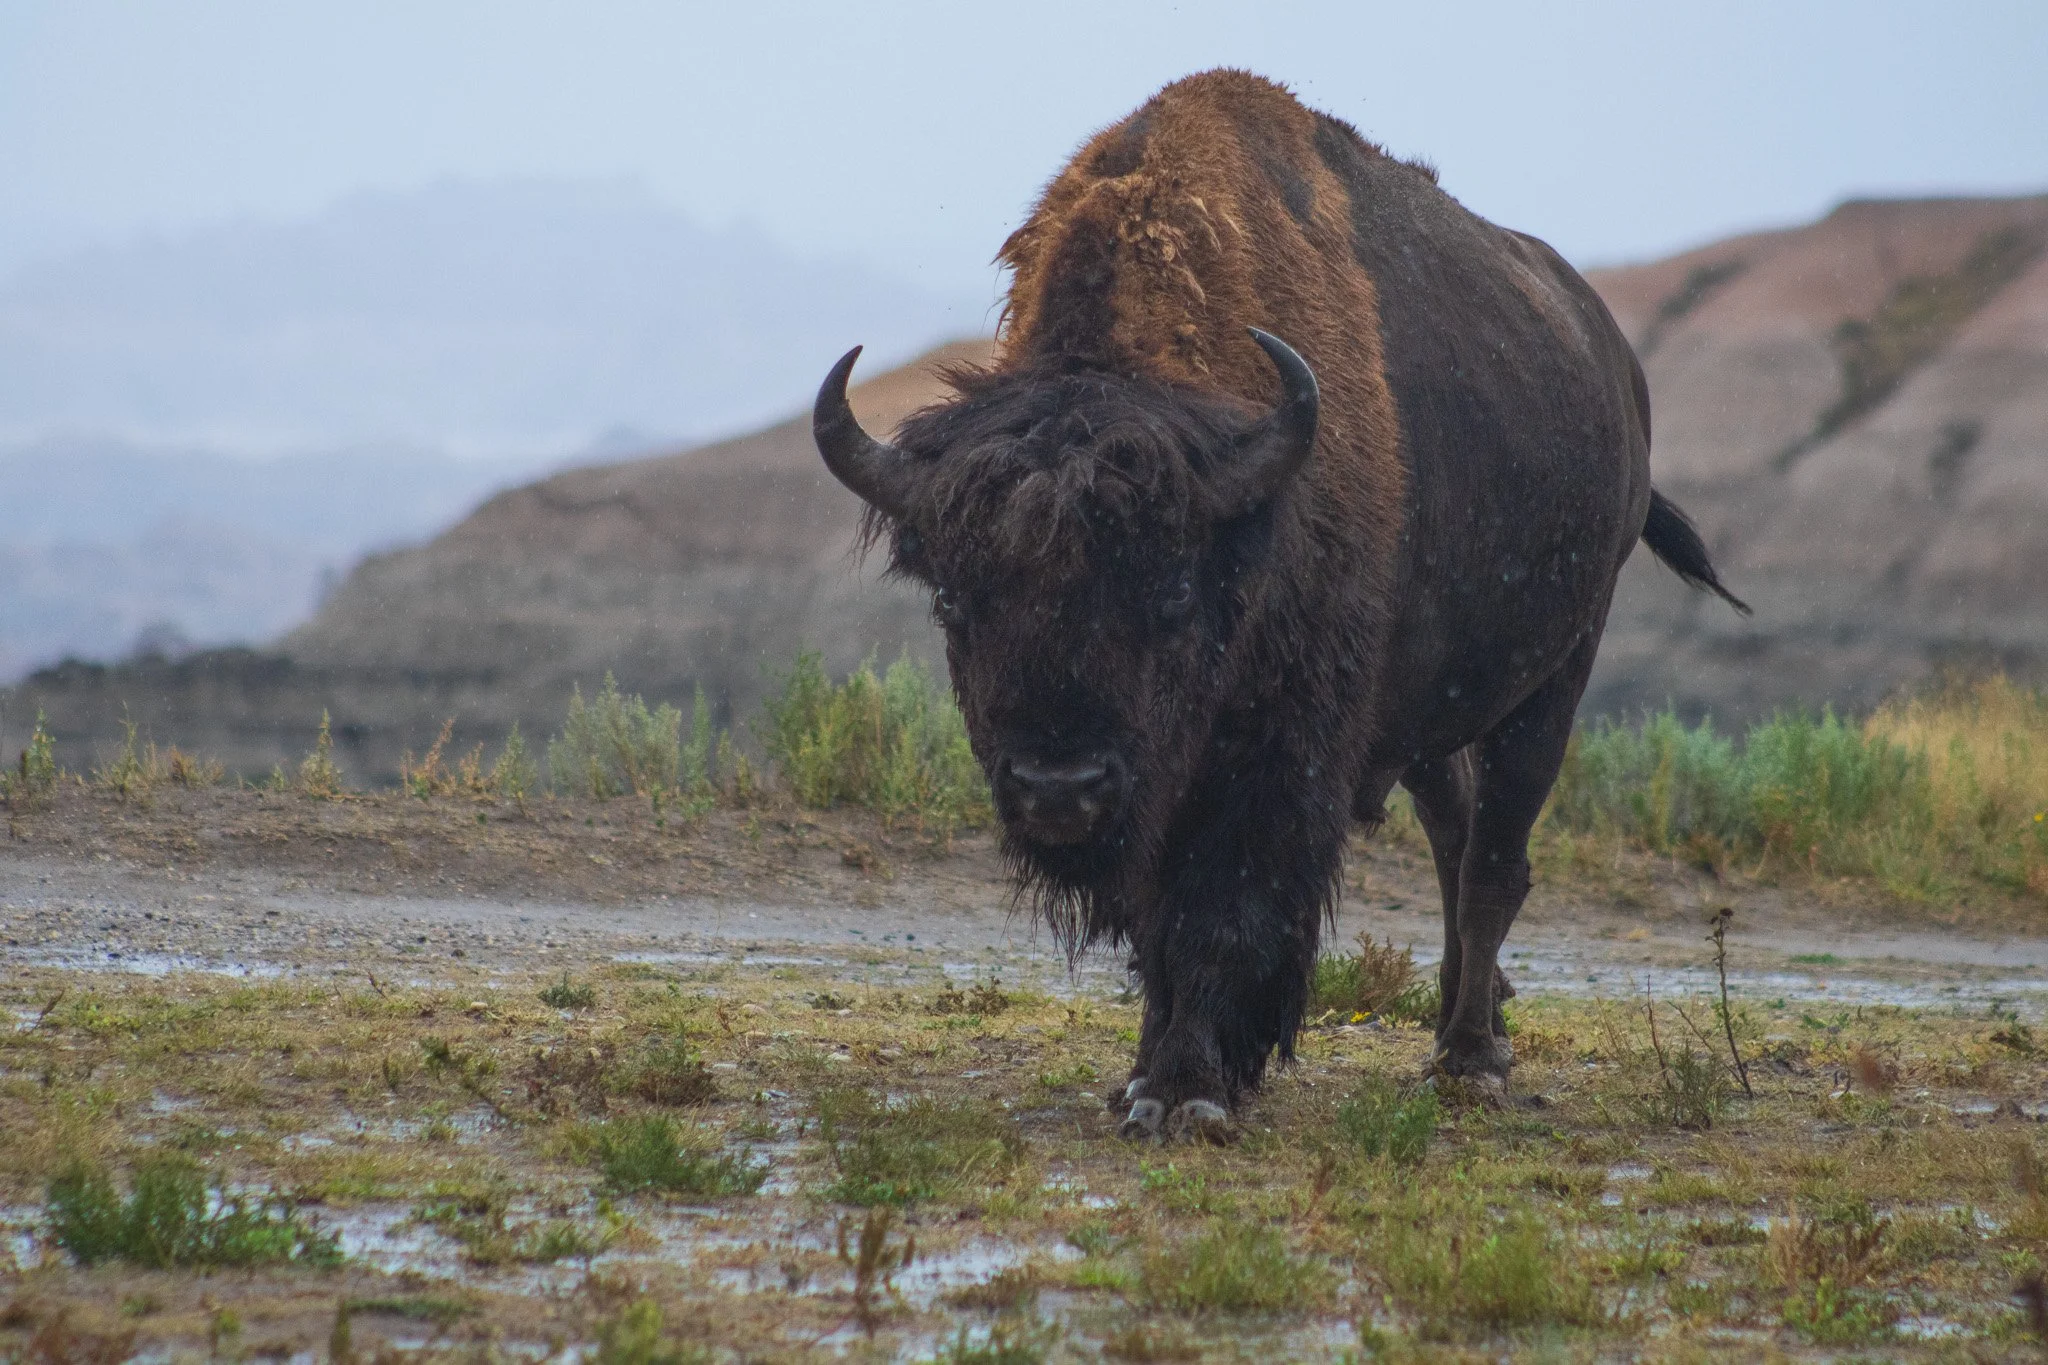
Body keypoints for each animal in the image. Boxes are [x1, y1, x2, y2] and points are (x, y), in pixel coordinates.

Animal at [814, 70, 1747, 1140]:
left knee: (1495, 861)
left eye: (1175, 591)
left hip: (1556, 673)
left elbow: (1222, 906)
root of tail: (1616, 369)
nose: (1058, 788)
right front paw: (1142, 1077)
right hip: (1430, 718)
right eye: (956, 597)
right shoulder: (1164, 777)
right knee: (1454, 832)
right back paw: (1470, 1026)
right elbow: (1156, 922)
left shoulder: (1277, 749)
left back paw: (1470, 1060)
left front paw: (1188, 1090)